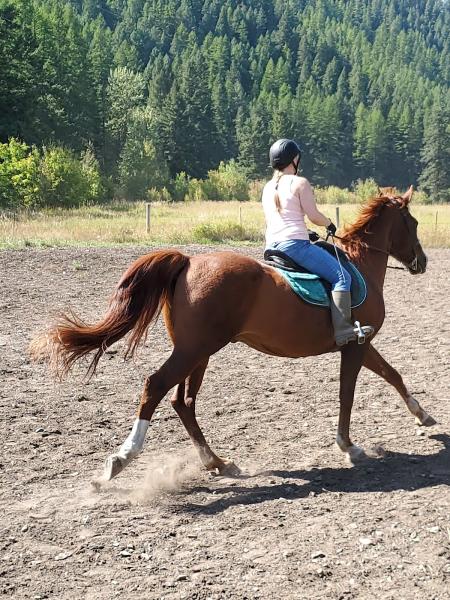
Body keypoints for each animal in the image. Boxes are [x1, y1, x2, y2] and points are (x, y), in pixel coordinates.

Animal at [32, 186, 436, 478]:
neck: (359, 263)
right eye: (414, 223)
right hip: (195, 350)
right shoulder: (354, 345)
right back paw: (122, 459)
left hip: (197, 352)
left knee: (182, 401)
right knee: (156, 387)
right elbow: (347, 395)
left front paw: (422, 414)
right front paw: (348, 446)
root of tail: (188, 261)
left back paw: (217, 462)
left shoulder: (361, 342)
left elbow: (393, 374)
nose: (422, 261)